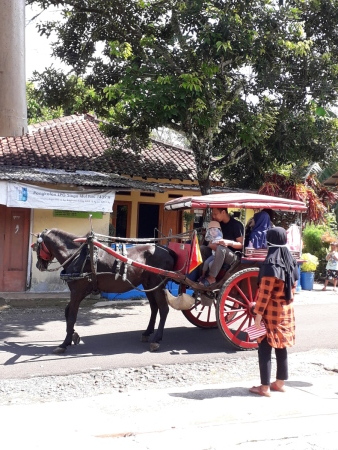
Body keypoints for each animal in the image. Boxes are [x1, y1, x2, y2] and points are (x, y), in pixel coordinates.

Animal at [32, 230, 177, 354]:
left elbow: (72, 316)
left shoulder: (77, 291)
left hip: (157, 285)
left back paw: (156, 339)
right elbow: (67, 312)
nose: (38, 265)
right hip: (148, 285)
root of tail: (167, 250)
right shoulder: (81, 292)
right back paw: (147, 332)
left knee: (163, 309)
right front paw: (73, 335)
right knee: (154, 308)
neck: (77, 255)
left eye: (37, 247)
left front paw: (64, 343)